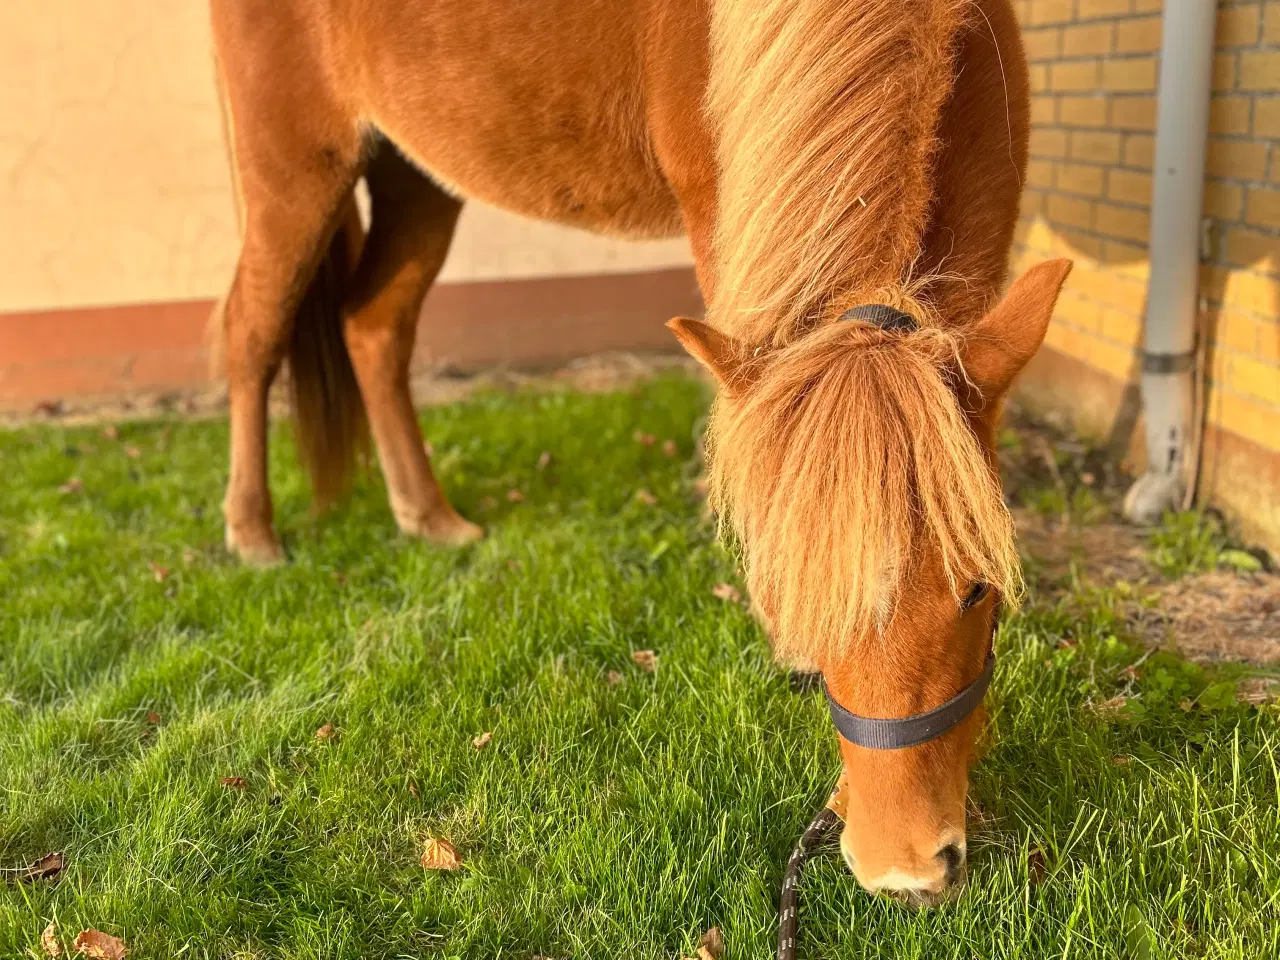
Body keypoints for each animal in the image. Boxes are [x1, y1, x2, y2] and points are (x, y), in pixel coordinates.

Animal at [212, 0, 1070, 901]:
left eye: (980, 589)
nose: (903, 870)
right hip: (294, 171)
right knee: (252, 330)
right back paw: (253, 531)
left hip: (418, 178)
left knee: (375, 328)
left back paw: (428, 516)